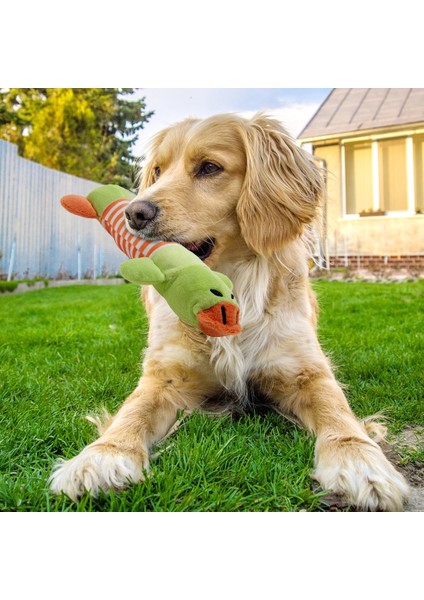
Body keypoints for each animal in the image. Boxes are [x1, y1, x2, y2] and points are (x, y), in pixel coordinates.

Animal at [49, 113, 410, 510]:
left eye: (210, 167)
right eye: (158, 171)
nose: (134, 212)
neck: (230, 286)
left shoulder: (306, 371)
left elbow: (337, 411)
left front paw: (359, 461)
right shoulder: (166, 377)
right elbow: (132, 411)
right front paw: (102, 456)